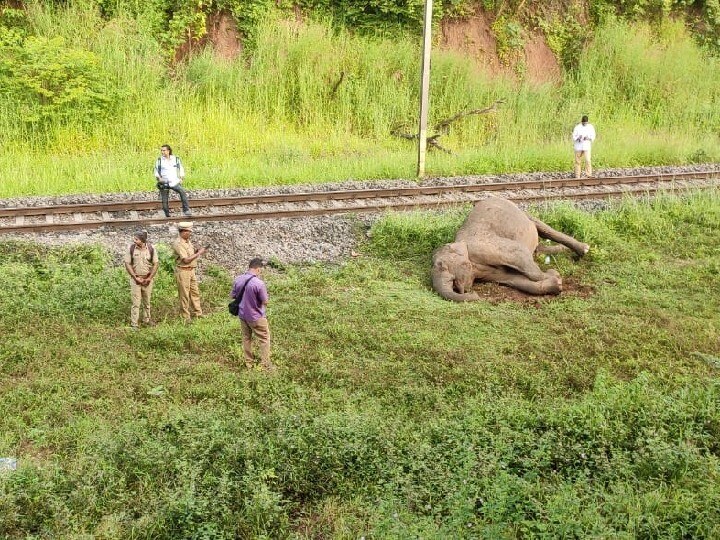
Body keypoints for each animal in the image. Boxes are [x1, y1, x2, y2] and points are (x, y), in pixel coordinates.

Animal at [434, 197, 592, 302]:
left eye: (442, 266)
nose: (476, 295)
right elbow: (513, 279)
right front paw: (556, 282)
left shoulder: (486, 246)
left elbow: (520, 253)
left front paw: (552, 275)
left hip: (521, 212)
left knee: (544, 229)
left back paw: (584, 249)